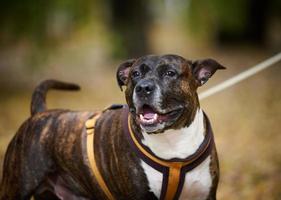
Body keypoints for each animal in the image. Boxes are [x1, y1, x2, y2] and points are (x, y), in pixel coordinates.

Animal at [0, 54, 223, 200]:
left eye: (170, 73)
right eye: (135, 74)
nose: (143, 87)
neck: (172, 141)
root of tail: (40, 113)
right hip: (14, 187)